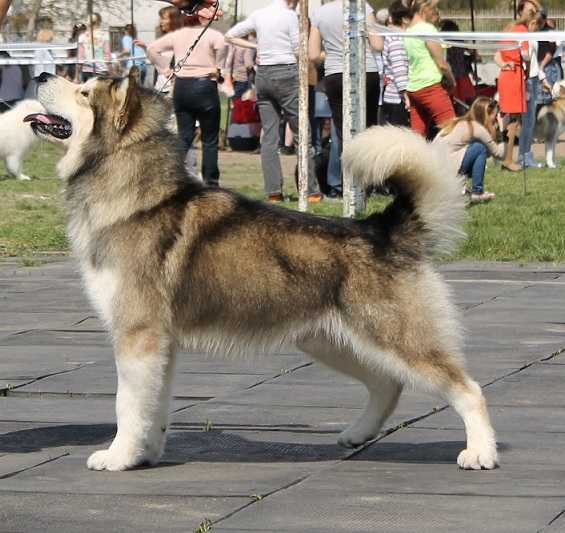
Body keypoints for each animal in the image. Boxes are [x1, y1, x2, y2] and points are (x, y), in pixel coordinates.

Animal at [27, 69, 498, 470]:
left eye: (83, 92)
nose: (42, 74)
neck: (136, 196)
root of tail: (381, 228)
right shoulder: (160, 343)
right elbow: (153, 406)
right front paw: (144, 454)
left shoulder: (137, 334)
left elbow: (126, 404)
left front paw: (118, 456)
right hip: (332, 341)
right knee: (388, 385)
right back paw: (357, 434)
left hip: (391, 337)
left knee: (467, 389)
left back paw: (480, 452)